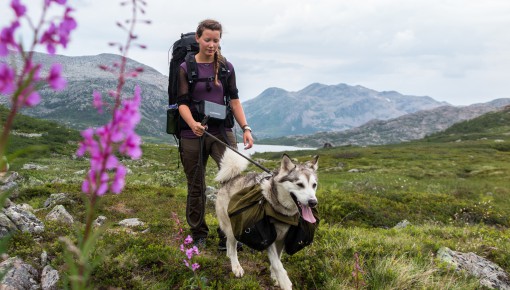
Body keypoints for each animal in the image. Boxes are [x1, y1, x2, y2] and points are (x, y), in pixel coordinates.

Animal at [215, 148, 318, 288]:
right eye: (300, 184)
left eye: (314, 185)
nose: (313, 202)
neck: (282, 210)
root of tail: (231, 179)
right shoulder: (268, 238)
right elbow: (277, 264)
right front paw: (285, 282)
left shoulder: (281, 239)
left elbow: (277, 260)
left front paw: (275, 277)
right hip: (233, 228)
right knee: (232, 247)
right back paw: (236, 267)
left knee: (229, 245)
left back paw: (228, 257)